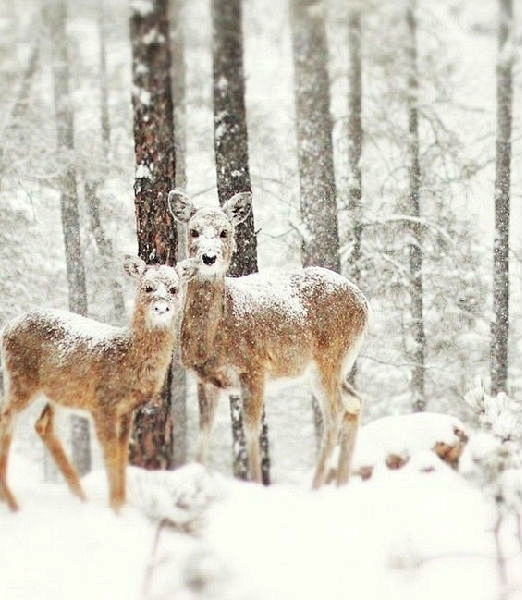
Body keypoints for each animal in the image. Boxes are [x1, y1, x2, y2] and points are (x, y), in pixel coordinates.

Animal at [0, 256, 180, 510]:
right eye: (148, 287)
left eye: (174, 289)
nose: (161, 308)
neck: (126, 356)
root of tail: (7, 327)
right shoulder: (102, 403)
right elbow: (110, 453)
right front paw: (116, 506)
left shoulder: (126, 410)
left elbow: (122, 454)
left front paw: (122, 502)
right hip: (21, 379)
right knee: (6, 421)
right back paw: (11, 500)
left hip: (60, 392)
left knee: (43, 425)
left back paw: (80, 496)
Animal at [169, 190, 368, 490]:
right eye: (193, 231)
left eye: (225, 231)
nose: (208, 257)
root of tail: (365, 303)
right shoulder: (206, 380)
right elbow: (205, 434)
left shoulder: (254, 368)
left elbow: (252, 431)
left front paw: (255, 483)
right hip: (328, 369)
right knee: (355, 402)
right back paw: (341, 483)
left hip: (330, 358)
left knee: (335, 413)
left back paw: (316, 485)